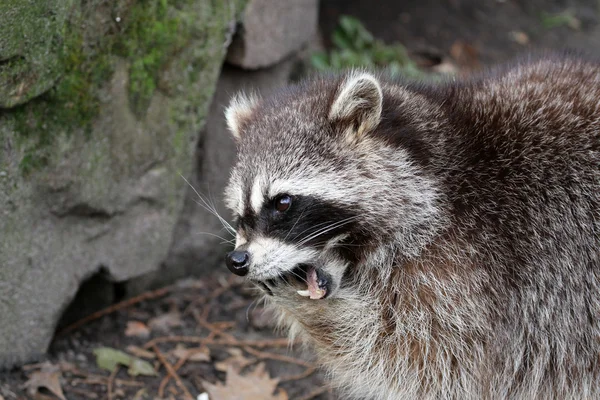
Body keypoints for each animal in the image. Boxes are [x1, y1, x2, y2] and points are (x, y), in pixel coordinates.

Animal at [221, 54, 600, 400]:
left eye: (283, 203)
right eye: (239, 213)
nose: (237, 261)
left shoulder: (468, 277)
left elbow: (418, 359)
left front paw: (313, 311)